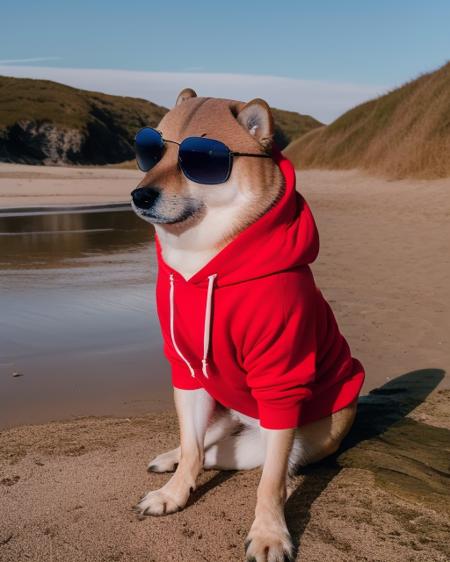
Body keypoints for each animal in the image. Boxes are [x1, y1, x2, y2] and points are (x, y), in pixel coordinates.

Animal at [128, 89, 364, 556]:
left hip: (298, 435)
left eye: (201, 160)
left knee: (228, 454)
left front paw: (270, 531)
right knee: (200, 445)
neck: (204, 261)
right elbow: (192, 447)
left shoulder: (280, 379)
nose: (139, 195)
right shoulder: (188, 368)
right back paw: (170, 460)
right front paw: (174, 494)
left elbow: (270, 482)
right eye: (150, 151)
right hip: (218, 405)